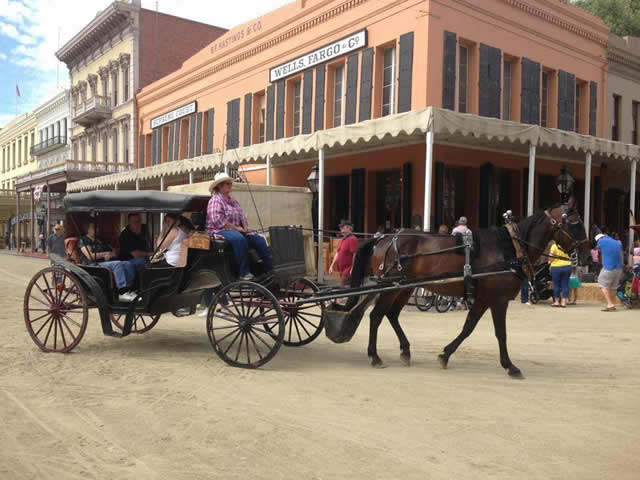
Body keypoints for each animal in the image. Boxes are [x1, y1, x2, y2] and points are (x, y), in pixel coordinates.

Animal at [324, 200, 592, 378]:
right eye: (576, 223)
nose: (588, 255)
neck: (510, 247)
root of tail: (383, 238)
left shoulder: (483, 299)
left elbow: (468, 327)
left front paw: (445, 354)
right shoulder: (498, 299)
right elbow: (500, 333)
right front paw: (510, 366)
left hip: (403, 288)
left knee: (391, 315)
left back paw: (405, 351)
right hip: (390, 287)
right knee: (376, 316)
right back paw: (375, 356)